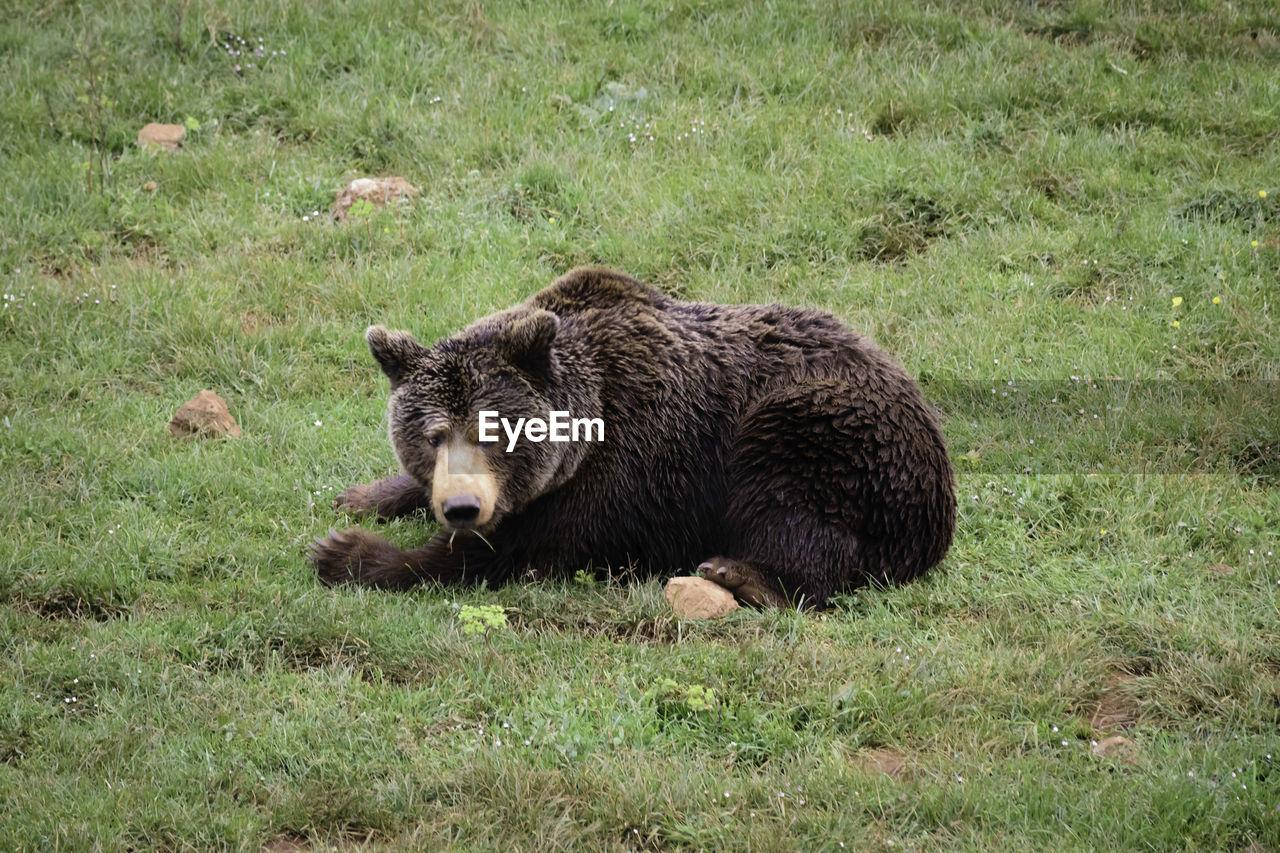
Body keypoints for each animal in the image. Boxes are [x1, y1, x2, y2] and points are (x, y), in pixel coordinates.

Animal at [307, 266, 952, 604]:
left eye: (496, 429)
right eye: (434, 435)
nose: (462, 507)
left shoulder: (633, 474)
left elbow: (523, 550)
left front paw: (347, 552)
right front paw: (363, 496)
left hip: (827, 431)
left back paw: (740, 573)